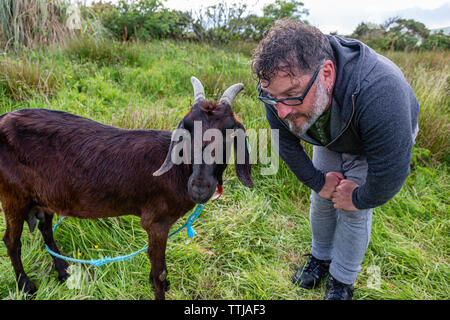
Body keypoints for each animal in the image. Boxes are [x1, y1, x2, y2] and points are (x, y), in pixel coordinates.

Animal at [0, 77, 253, 300]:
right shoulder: (156, 222)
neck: (179, 170)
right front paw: (159, 287)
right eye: (188, 129)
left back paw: (63, 271)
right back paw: (26, 286)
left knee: (45, 227)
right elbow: (160, 272)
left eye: (229, 132)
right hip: (13, 195)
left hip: (47, 196)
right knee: (12, 241)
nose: (199, 187)